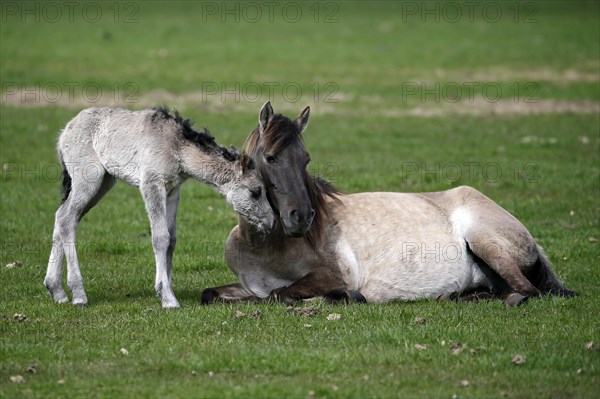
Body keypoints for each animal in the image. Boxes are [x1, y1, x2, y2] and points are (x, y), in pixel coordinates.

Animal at [45, 107, 276, 310]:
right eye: (256, 191)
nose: (271, 222)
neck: (176, 147)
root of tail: (65, 131)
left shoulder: (173, 190)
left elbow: (171, 238)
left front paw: (165, 288)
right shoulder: (151, 184)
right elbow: (160, 237)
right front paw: (168, 299)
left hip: (104, 182)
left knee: (62, 216)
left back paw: (56, 291)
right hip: (89, 179)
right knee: (66, 219)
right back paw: (78, 295)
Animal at [203, 103, 576, 306]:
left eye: (305, 159)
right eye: (270, 157)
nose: (302, 217)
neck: (266, 248)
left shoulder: (332, 275)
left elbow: (279, 295)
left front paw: (344, 297)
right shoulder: (246, 284)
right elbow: (214, 293)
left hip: (487, 243)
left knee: (526, 291)